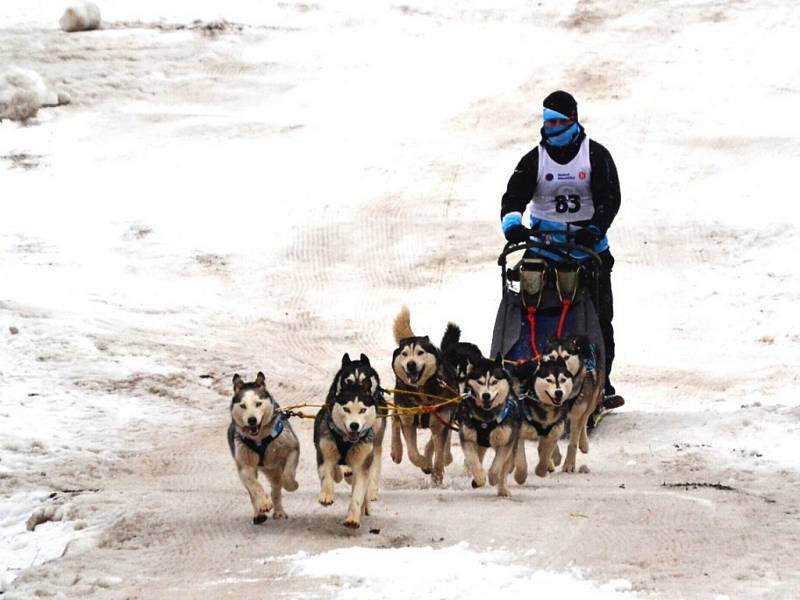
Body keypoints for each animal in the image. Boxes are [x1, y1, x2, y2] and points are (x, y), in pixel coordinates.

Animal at [228, 372, 300, 524]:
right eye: (243, 405)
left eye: (258, 403)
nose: (252, 420)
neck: (260, 439)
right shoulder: (245, 465)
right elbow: (255, 486)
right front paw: (263, 503)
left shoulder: (292, 448)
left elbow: (288, 474)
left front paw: (292, 485)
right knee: (253, 492)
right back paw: (259, 514)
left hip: (273, 469)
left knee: (276, 489)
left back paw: (279, 511)